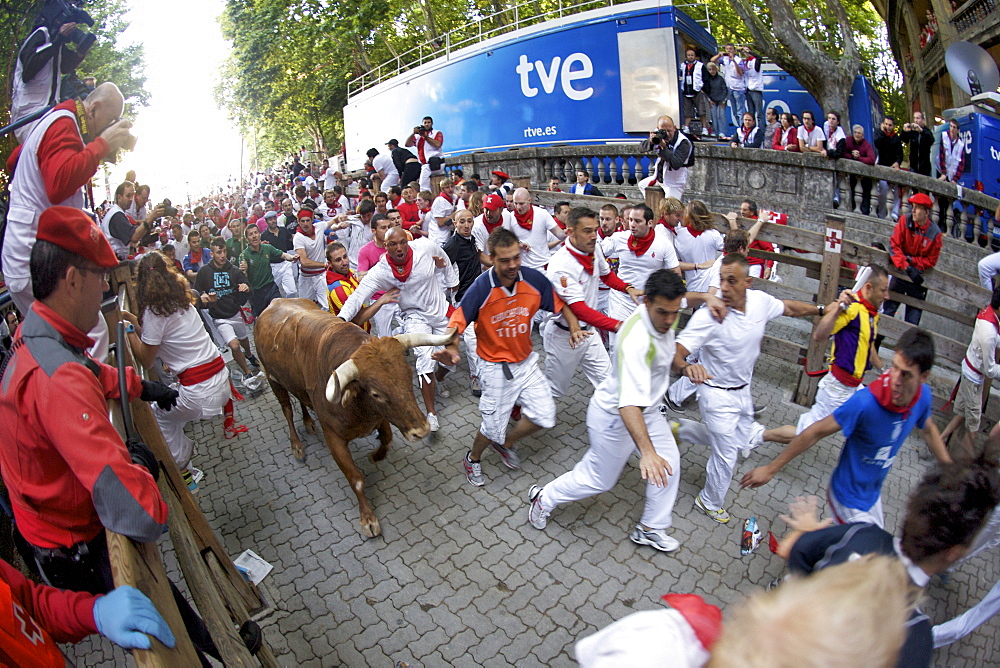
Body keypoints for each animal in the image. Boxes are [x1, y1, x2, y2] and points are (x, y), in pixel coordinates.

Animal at [254, 298, 454, 536]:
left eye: (407, 374)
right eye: (376, 393)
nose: (421, 430)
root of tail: (274, 303)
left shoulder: (381, 418)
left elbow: (386, 439)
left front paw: (375, 456)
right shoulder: (334, 437)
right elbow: (356, 479)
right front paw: (368, 519)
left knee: (301, 399)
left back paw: (309, 422)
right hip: (273, 379)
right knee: (287, 409)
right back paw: (297, 446)